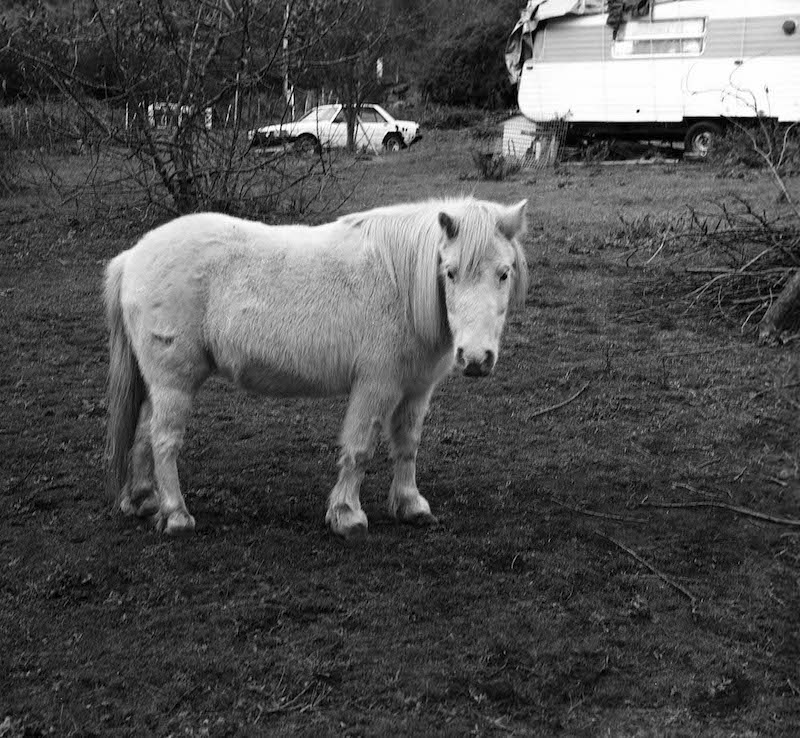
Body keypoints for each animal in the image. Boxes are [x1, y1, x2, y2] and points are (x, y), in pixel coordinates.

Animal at [104, 196, 529, 540]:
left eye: (504, 272)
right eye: (450, 271)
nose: (476, 359)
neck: (400, 282)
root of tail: (133, 256)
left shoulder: (416, 389)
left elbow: (407, 445)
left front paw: (410, 505)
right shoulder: (375, 386)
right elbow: (359, 449)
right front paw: (347, 516)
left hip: (156, 384)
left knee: (143, 435)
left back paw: (143, 500)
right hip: (173, 382)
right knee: (164, 441)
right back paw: (176, 515)